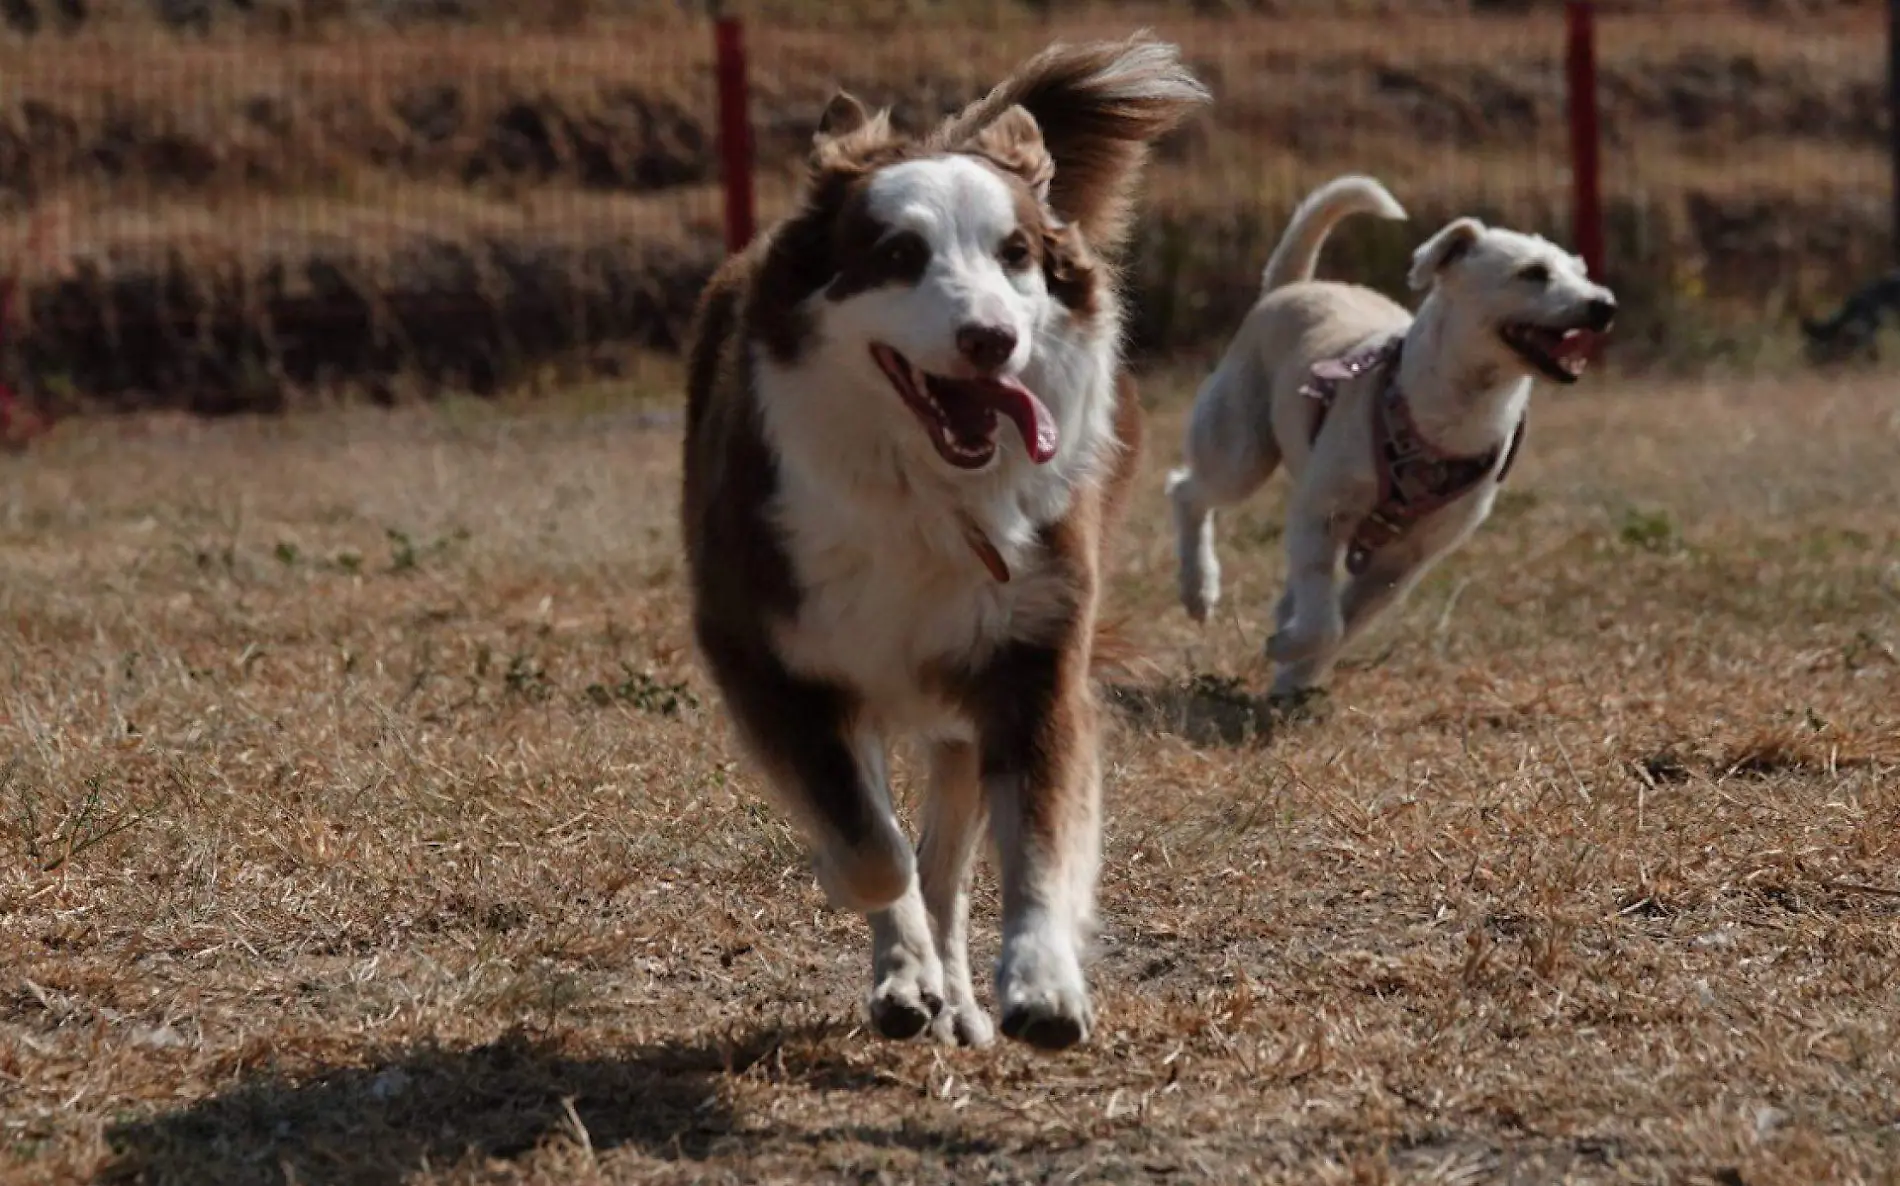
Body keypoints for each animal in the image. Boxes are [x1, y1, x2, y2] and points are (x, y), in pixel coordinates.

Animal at [680, 37, 1200, 1049]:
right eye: (897, 255)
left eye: (1016, 255)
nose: (992, 339)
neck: (922, 492)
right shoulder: (766, 653)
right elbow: (870, 844)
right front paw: (884, 935)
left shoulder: (1033, 657)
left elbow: (1029, 843)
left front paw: (1041, 983)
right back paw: (910, 979)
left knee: (949, 859)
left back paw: (953, 992)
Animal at [1162, 171, 1611, 699]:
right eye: (1534, 273)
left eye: (1581, 271)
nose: (1604, 305)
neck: (1451, 418)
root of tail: (1292, 285)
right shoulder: (1323, 512)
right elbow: (1325, 620)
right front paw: (1286, 648)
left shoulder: (1406, 561)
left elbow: (1348, 621)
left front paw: (1295, 673)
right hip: (1241, 450)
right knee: (1188, 492)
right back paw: (1199, 588)